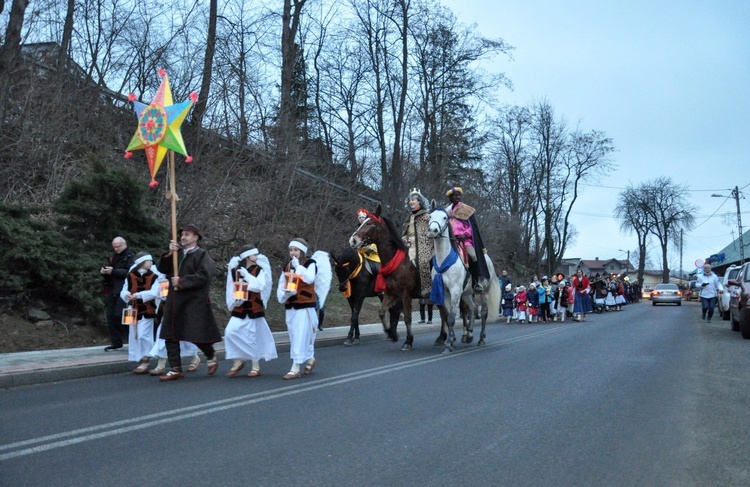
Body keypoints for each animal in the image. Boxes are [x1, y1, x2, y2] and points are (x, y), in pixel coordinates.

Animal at [348, 206, 420, 350]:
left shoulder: (406, 294)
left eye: (370, 223)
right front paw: (391, 334)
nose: (353, 240)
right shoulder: (390, 293)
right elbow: (381, 312)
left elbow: (407, 317)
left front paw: (408, 341)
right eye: (362, 222)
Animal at [426, 204, 502, 352]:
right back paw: (469, 334)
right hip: (466, 293)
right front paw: (450, 341)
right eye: (430, 216)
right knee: (473, 308)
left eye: (444, 217)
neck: (444, 260)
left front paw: (449, 345)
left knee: (483, 312)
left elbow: (451, 318)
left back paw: (481, 339)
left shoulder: (455, 291)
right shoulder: (446, 292)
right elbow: (448, 316)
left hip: (484, 292)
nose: (432, 230)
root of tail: (488, 260)